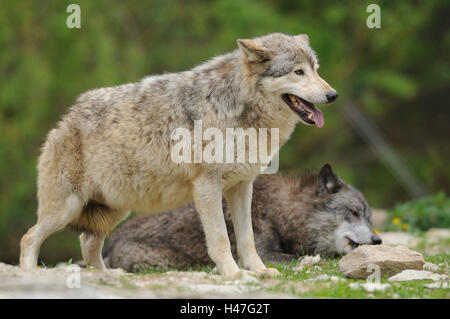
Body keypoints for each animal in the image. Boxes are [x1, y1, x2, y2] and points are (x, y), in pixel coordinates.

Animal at [21, 33, 338, 278]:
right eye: (298, 72)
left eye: (316, 69)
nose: (333, 95)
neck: (236, 107)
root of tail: (65, 119)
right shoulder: (207, 187)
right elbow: (221, 239)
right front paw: (233, 274)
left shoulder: (242, 187)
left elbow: (246, 239)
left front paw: (259, 271)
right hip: (67, 209)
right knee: (29, 238)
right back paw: (29, 274)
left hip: (114, 210)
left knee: (87, 245)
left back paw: (108, 276)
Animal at [103, 165, 382, 272]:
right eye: (353, 212)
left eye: (369, 219)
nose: (378, 241)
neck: (282, 211)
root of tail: (111, 242)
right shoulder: (263, 253)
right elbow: (304, 256)